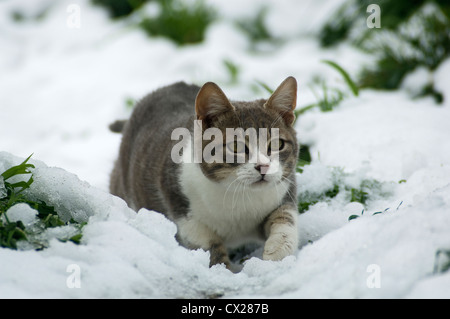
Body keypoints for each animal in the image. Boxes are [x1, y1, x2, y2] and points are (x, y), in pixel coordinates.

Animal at [109, 77, 298, 270]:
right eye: (235, 146)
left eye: (277, 144)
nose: (263, 166)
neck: (239, 195)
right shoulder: (181, 207)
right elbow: (208, 244)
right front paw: (222, 270)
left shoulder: (284, 190)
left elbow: (285, 217)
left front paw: (277, 252)